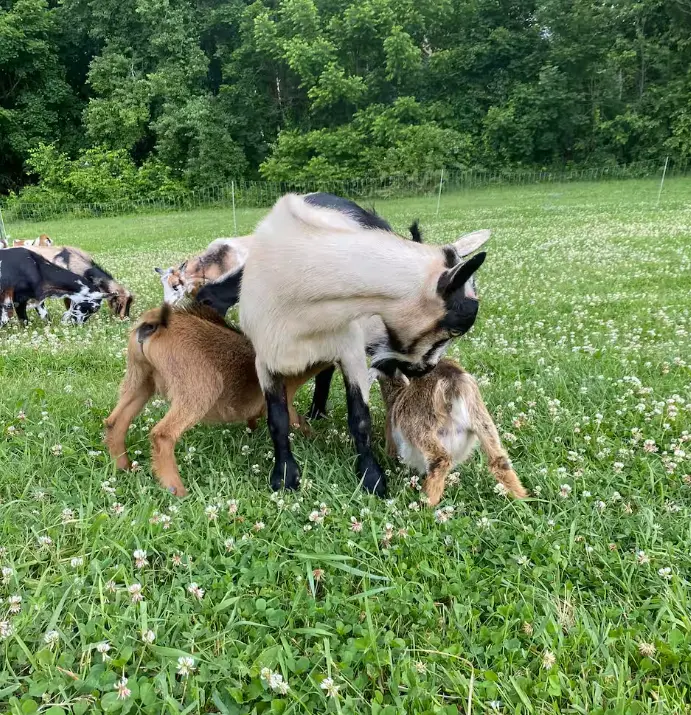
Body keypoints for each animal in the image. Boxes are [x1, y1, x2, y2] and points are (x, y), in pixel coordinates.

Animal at [104, 304, 326, 497]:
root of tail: (153, 323)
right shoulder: (282, 398)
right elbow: (296, 420)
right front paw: (314, 437)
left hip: (140, 380)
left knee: (115, 422)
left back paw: (123, 467)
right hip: (200, 390)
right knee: (163, 435)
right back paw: (177, 490)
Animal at [205, 192, 490, 495]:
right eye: (457, 326)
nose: (426, 369)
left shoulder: (350, 348)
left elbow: (360, 418)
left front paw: (372, 477)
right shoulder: (266, 357)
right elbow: (278, 420)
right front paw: (284, 476)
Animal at [373, 360, 527, 506]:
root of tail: (451, 377)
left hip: (418, 427)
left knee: (440, 459)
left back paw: (426, 503)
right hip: (481, 418)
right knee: (499, 458)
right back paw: (522, 498)